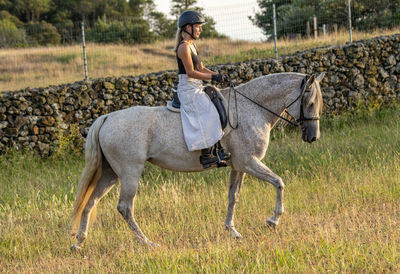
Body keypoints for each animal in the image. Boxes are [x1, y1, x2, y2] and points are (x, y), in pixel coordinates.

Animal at [69, 71, 324, 249]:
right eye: (310, 103)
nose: (313, 137)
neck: (251, 108)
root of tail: (107, 117)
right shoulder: (249, 162)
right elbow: (279, 182)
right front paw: (273, 220)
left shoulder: (238, 166)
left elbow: (233, 197)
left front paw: (232, 231)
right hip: (130, 172)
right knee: (125, 207)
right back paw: (148, 243)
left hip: (110, 173)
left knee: (90, 202)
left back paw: (79, 242)